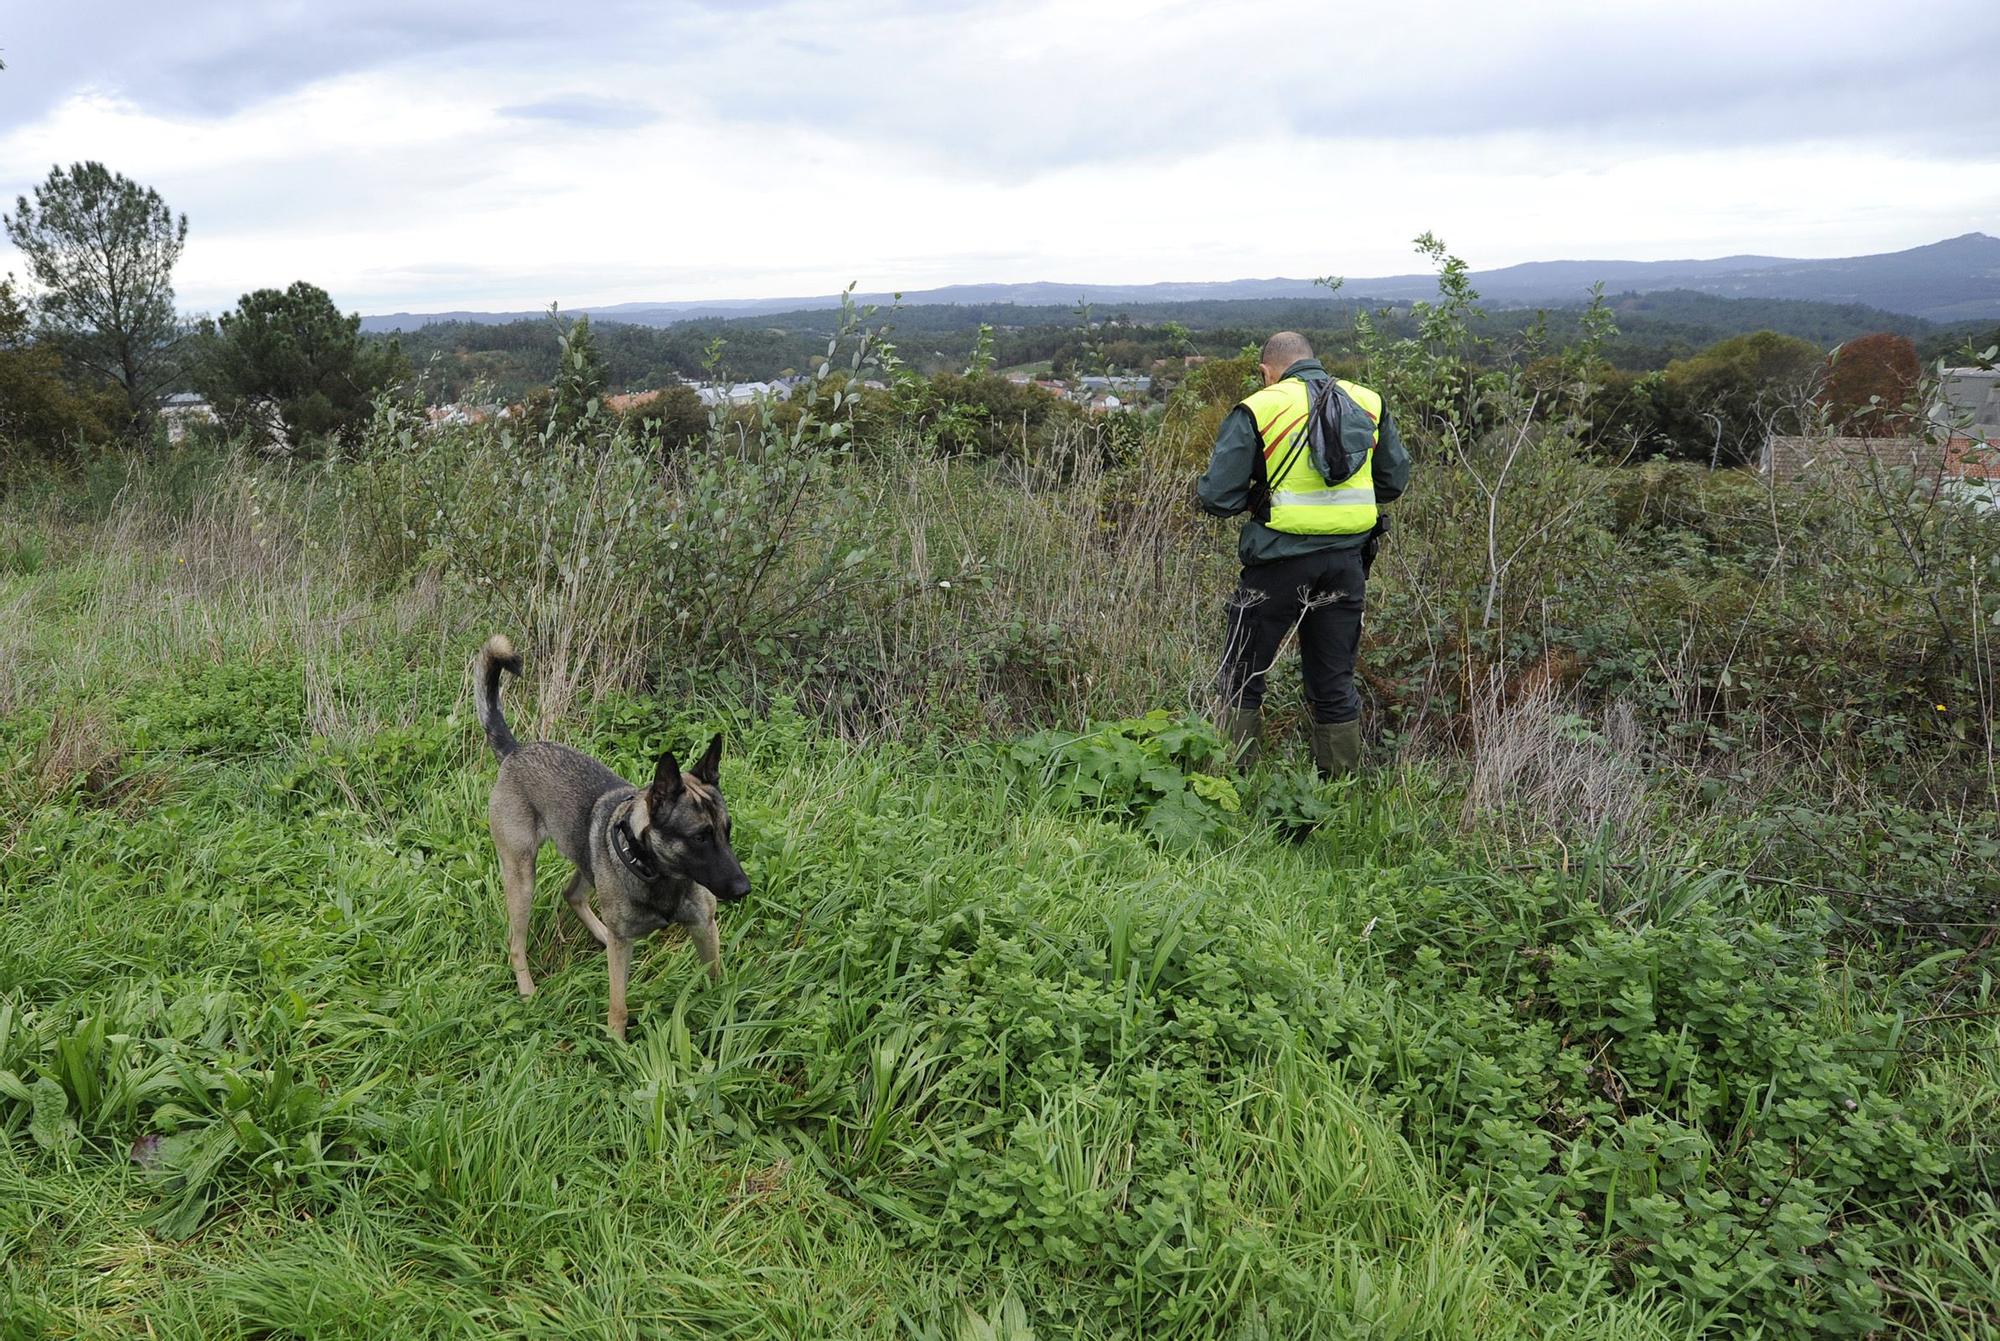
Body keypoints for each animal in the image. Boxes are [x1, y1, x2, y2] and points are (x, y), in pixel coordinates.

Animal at [474, 636, 752, 1048]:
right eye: (700, 837)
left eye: (726, 831)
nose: (744, 889)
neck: (658, 872)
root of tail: (516, 750)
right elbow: (618, 1005)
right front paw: (619, 1047)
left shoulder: (705, 927)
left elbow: (716, 978)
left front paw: (725, 1021)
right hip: (521, 879)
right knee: (516, 945)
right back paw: (527, 990)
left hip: (586, 858)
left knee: (572, 895)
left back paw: (601, 935)